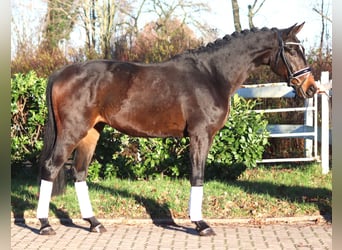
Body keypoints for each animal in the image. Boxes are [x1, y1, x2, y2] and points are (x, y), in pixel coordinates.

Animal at [36, 23, 316, 236]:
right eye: (291, 50)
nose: (311, 88)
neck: (212, 74)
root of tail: (61, 73)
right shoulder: (200, 135)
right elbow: (197, 175)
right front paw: (201, 224)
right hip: (72, 132)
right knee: (51, 168)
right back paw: (45, 224)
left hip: (92, 132)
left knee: (79, 172)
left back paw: (94, 223)